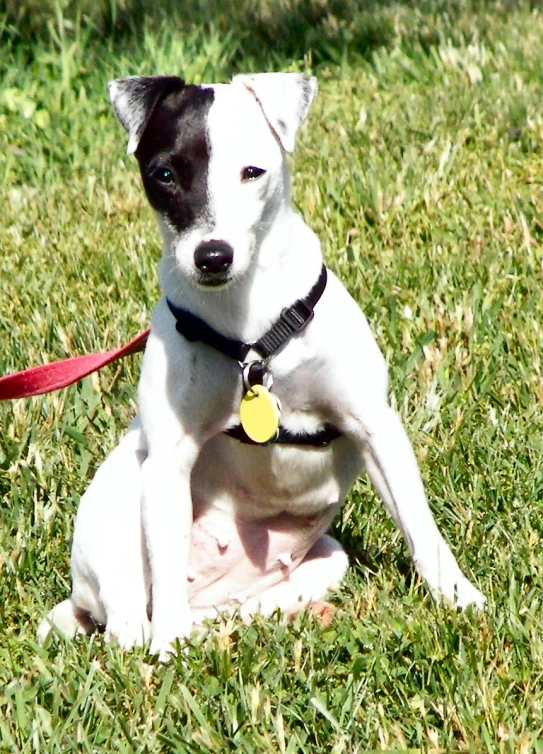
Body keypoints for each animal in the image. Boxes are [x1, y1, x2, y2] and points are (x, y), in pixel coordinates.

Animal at [39, 72, 488, 656]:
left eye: (253, 172)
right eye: (164, 174)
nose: (212, 256)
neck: (251, 333)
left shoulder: (376, 426)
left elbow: (421, 526)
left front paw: (459, 597)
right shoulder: (168, 460)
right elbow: (165, 560)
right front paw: (167, 653)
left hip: (324, 562)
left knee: (241, 613)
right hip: (124, 493)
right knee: (132, 615)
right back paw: (154, 634)